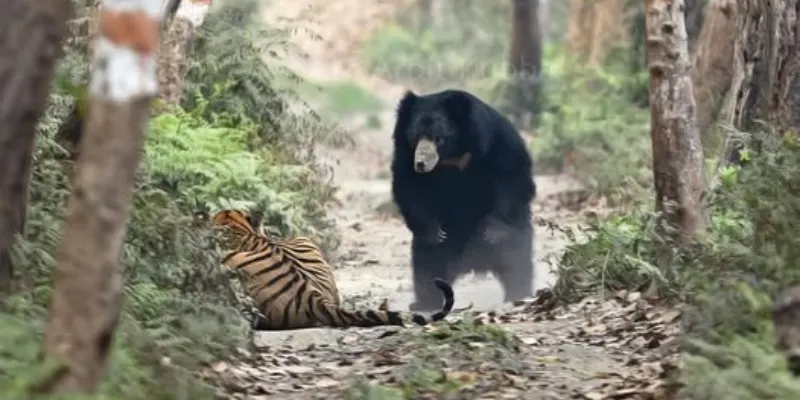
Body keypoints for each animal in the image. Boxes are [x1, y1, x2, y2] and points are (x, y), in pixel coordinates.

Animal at [390, 88, 537, 311]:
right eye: (415, 138)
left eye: (438, 138)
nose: (421, 164)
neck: (453, 154)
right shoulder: (405, 153)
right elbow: (407, 185)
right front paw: (435, 232)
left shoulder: (495, 139)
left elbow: (512, 174)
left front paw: (491, 230)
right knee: (427, 263)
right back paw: (425, 302)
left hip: (514, 231)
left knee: (515, 255)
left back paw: (518, 293)